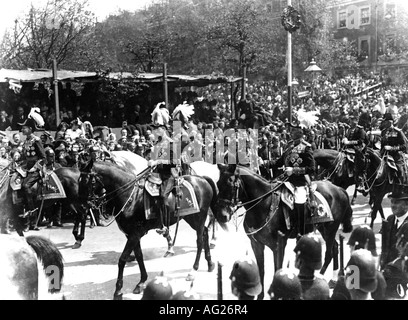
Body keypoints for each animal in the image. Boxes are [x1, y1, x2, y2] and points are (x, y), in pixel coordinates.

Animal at [76, 160, 217, 300]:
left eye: (88, 181)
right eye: (79, 180)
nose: (81, 207)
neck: (130, 196)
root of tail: (202, 179)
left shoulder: (134, 234)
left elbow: (122, 259)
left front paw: (118, 291)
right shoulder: (132, 235)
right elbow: (139, 256)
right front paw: (141, 282)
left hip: (199, 217)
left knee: (199, 241)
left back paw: (193, 271)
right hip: (191, 218)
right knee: (205, 233)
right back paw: (210, 263)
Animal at [214, 165, 354, 300]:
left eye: (231, 184)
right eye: (218, 184)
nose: (221, 216)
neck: (263, 205)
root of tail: (339, 189)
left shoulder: (278, 244)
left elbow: (277, 268)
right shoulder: (256, 244)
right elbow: (261, 270)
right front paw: (260, 296)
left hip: (330, 229)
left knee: (329, 252)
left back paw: (320, 277)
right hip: (324, 229)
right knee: (335, 247)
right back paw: (334, 279)